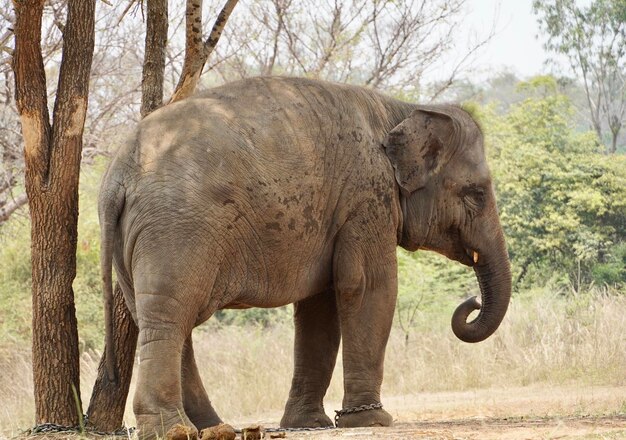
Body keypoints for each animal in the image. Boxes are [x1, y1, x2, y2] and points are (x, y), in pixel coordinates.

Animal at [97, 75, 508, 436]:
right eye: (476, 194)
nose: (470, 303)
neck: (400, 109)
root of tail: (116, 176)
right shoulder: (367, 198)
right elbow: (369, 287)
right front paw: (373, 421)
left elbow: (319, 308)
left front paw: (311, 424)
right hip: (175, 229)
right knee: (169, 317)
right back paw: (174, 430)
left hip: (138, 240)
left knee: (164, 318)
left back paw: (212, 427)